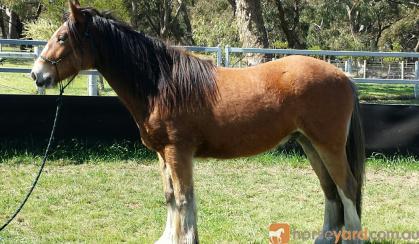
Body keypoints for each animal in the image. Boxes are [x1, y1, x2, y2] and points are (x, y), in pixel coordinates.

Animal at [30, 0, 364, 243]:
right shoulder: (163, 154)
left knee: (347, 187)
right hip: (310, 144)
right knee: (330, 189)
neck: (161, 85)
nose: (36, 74)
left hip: (328, 146)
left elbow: (184, 198)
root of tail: (344, 77)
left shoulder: (178, 152)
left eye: (62, 37)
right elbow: (170, 197)